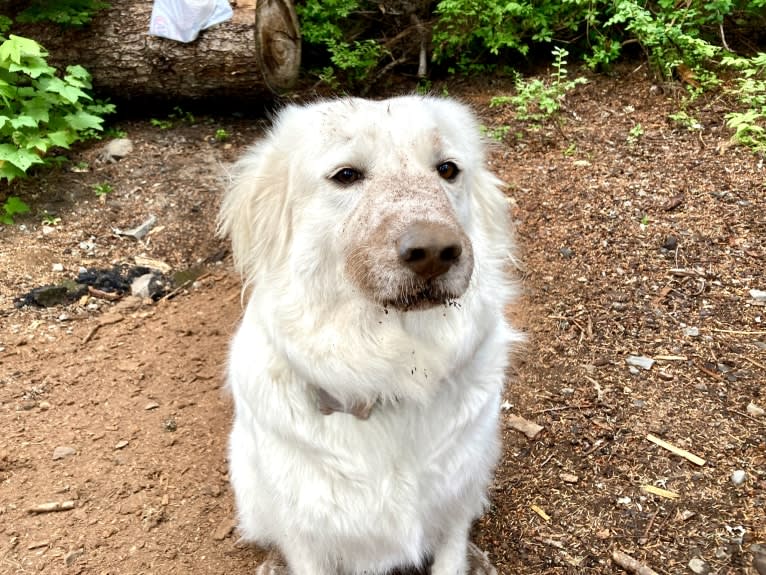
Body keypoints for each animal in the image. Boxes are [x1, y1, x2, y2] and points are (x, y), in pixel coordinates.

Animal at [219, 97, 524, 572]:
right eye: (346, 175)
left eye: (448, 169)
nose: (435, 252)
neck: (392, 375)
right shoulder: (306, 538)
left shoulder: (456, 505)